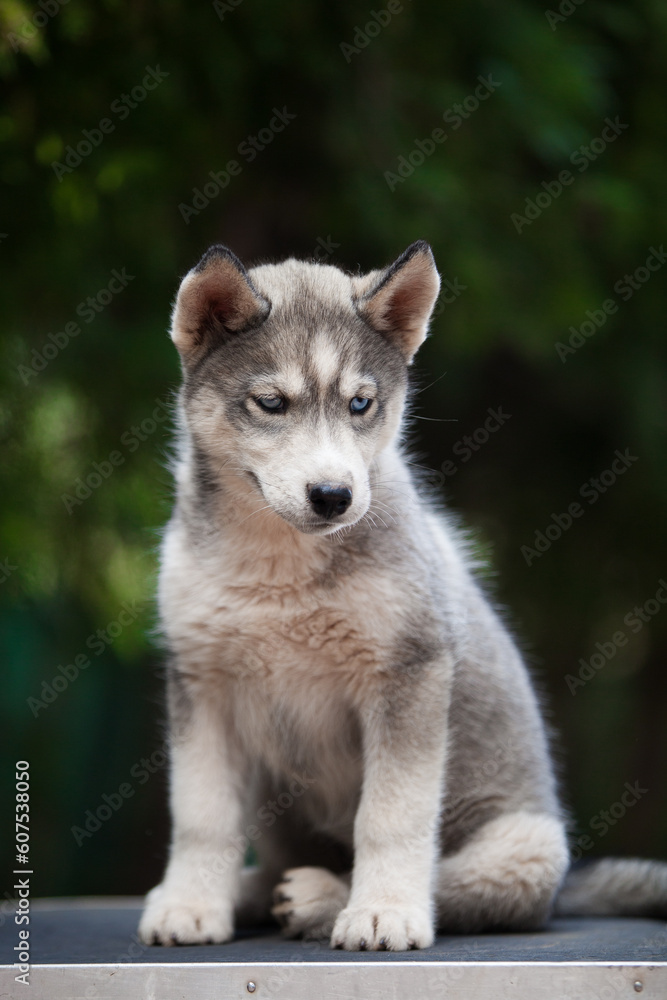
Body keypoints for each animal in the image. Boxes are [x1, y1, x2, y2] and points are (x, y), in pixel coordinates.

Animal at [140, 242, 667, 952]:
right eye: (271, 403)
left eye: (361, 404)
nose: (333, 496)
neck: (281, 569)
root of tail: (563, 890)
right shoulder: (201, 684)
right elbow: (202, 814)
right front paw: (192, 904)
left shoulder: (408, 674)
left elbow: (390, 816)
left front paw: (381, 912)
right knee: (276, 859)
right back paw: (256, 894)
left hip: (527, 845)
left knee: (458, 883)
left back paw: (320, 897)